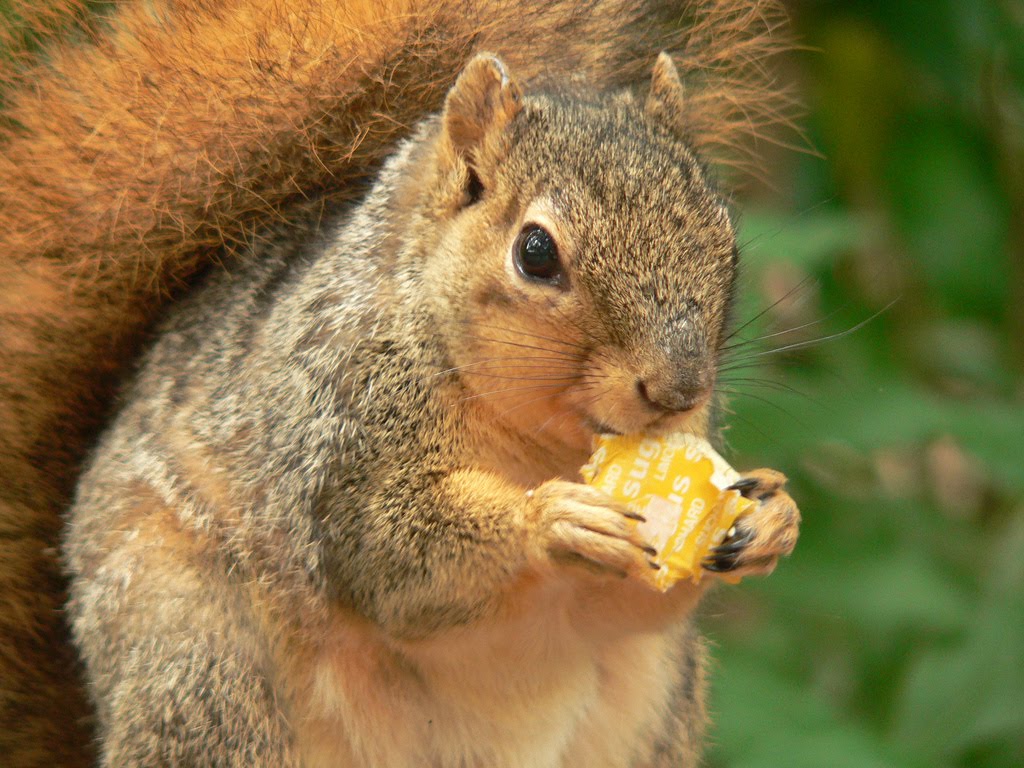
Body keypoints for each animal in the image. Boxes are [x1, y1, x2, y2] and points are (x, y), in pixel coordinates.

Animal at [0, 0, 790, 765]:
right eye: (535, 253)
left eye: (725, 237)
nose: (678, 392)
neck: (539, 440)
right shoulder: (336, 435)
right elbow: (391, 555)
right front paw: (549, 518)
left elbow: (628, 610)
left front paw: (772, 519)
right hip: (198, 666)